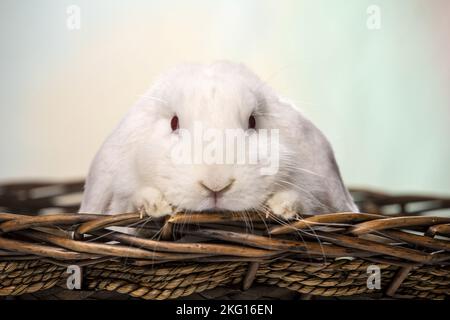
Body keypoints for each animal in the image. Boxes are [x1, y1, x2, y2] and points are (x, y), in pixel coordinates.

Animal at [80, 61, 358, 219]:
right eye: (174, 123)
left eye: (253, 121)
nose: (216, 185)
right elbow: (129, 202)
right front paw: (155, 205)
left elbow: (304, 200)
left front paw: (282, 207)